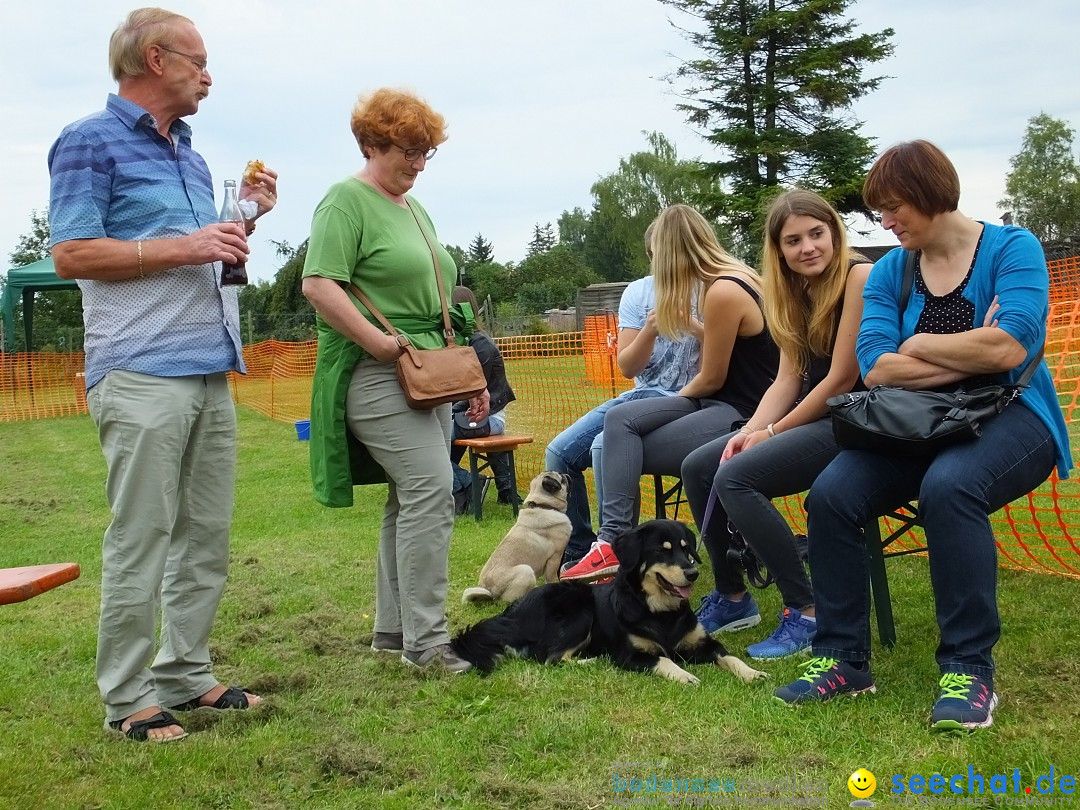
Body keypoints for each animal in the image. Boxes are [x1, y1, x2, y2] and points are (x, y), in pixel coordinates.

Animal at [447, 520, 768, 686]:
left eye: (686, 549)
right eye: (662, 551)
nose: (692, 573)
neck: (660, 612)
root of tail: (512, 612)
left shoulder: (703, 643)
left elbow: (729, 656)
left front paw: (753, 673)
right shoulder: (630, 655)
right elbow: (663, 659)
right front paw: (685, 675)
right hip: (578, 610)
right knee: (549, 657)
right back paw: (592, 660)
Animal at [460, 468, 570, 604]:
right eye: (562, 478)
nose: (566, 474)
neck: (543, 505)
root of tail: (489, 591)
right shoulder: (555, 557)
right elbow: (551, 578)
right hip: (526, 571)